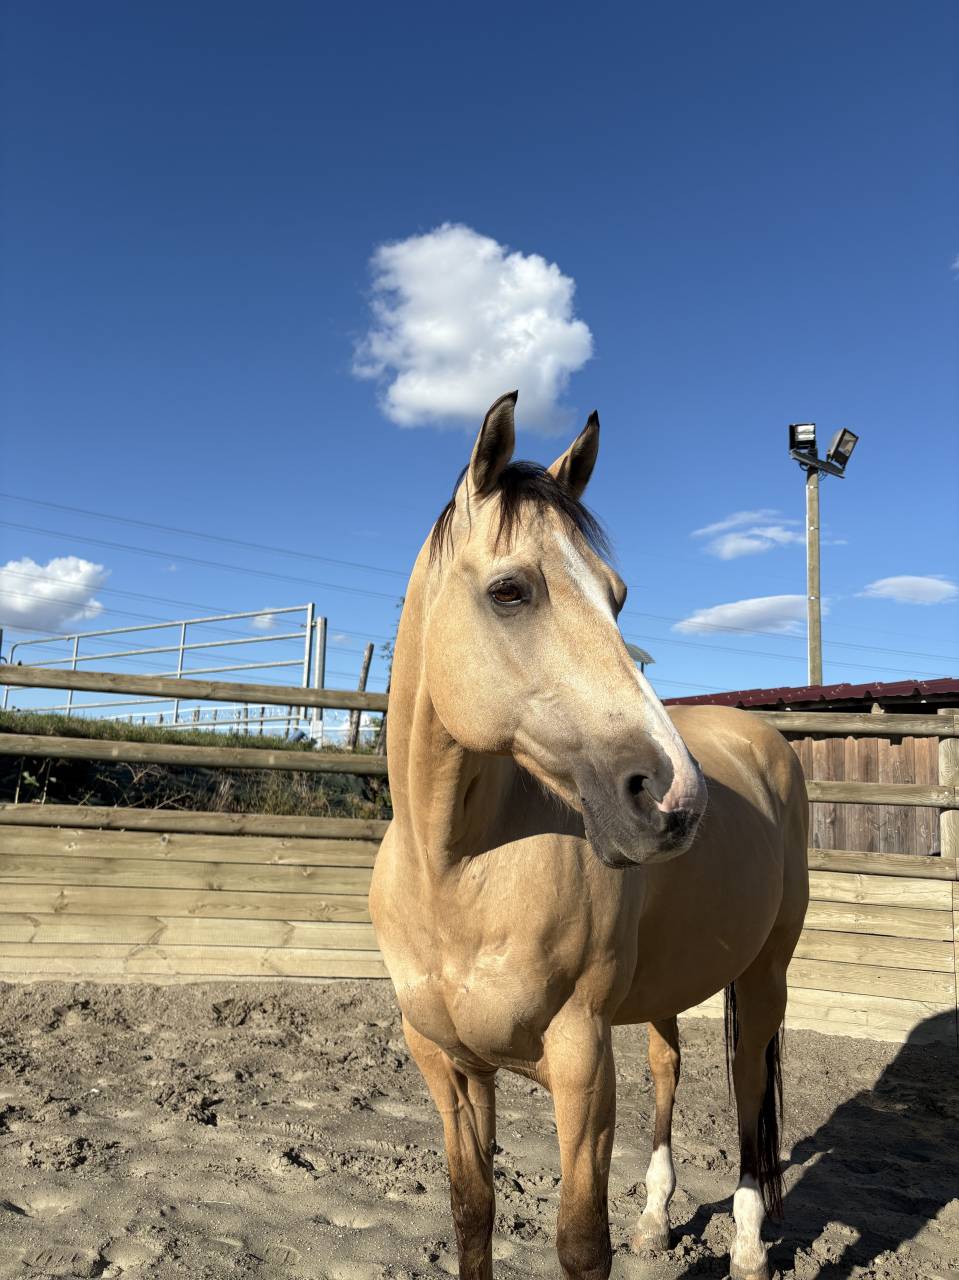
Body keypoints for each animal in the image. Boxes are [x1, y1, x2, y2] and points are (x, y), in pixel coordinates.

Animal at [369, 391, 809, 1280]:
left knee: (747, 1084)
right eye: (510, 591)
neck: (457, 869)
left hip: (764, 975)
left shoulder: (580, 1061)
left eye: (618, 594)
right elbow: (472, 1215)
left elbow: (579, 1243)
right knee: (669, 1064)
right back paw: (656, 1219)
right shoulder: (447, 1065)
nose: (674, 799)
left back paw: (749, 1244)